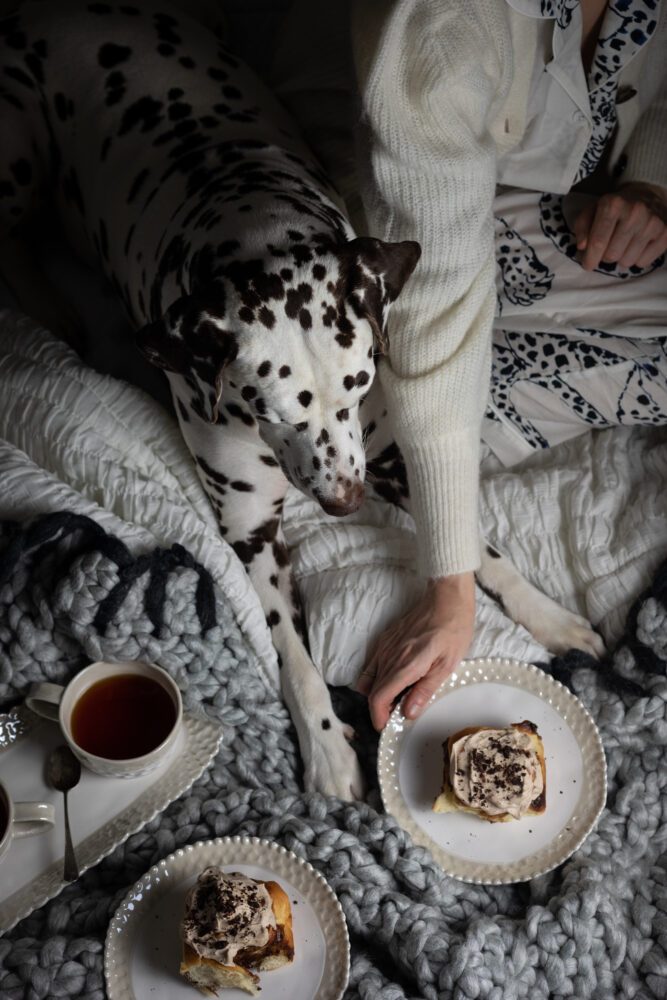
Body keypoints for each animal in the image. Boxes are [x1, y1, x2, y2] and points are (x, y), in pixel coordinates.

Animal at [0, 1, 604, 796]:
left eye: (361, 386)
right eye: (269, 410)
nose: (345, 503)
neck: (244, 213)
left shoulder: (386, 459)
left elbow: (473, 545)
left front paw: (549, 614)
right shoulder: (252, 531)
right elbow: (290, 650)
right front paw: (327, 750)